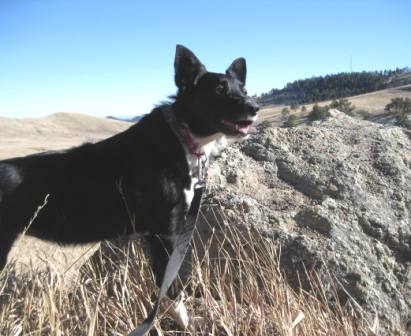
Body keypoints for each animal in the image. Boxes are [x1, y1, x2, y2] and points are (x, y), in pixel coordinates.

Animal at [0, 44, 258, 328]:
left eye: (244, 90)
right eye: (219, 90)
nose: (254, 107)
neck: (182, 136)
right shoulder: (165, 234)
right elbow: (172, 289)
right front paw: (186, 324)